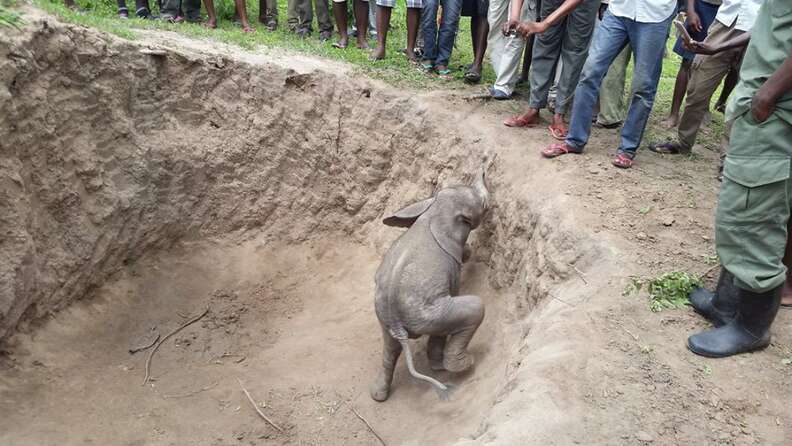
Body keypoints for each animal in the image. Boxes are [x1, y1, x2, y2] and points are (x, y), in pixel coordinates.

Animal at [370, 167, 491, 402]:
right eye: (484, 205)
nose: (482, 171)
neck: (435, 212)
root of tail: (397, 323)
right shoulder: (450, 273)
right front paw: (438, 367)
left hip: (384, 313)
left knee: (389, 346)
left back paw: (378, 396)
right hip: (425, 311)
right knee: (474, 308)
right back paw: (462, 366)